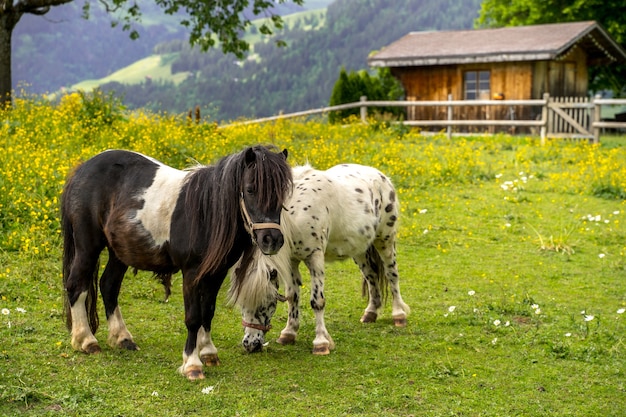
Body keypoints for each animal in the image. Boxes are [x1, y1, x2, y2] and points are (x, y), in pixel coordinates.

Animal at [61, 145, 290, 378]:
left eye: (283, 192)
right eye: (251, 189)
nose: (271, 240)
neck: (207, 213)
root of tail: (81, 170)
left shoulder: (216, 273)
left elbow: (208, 312)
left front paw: (208, 352)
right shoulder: (191, 273)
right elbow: (193, 317)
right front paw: (192, 364)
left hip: (120, 252)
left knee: (109, 286)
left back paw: (122, 338)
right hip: (87, 248)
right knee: (76, 286)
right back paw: (86, 341)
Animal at [229, 162, 410, 354]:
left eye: (265, 302)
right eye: (241, 305)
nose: (250, 344)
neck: (294, 213)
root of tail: (381, 176)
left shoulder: (314, 258)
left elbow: (317, 301)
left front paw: (321, 342)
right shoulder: (292, 261)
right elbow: (292, 296)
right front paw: (289, 333)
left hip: (385, 241)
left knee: (392, 274)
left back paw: (399, 315)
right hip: (360, 250)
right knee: (372, 276)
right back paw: (370, 313)